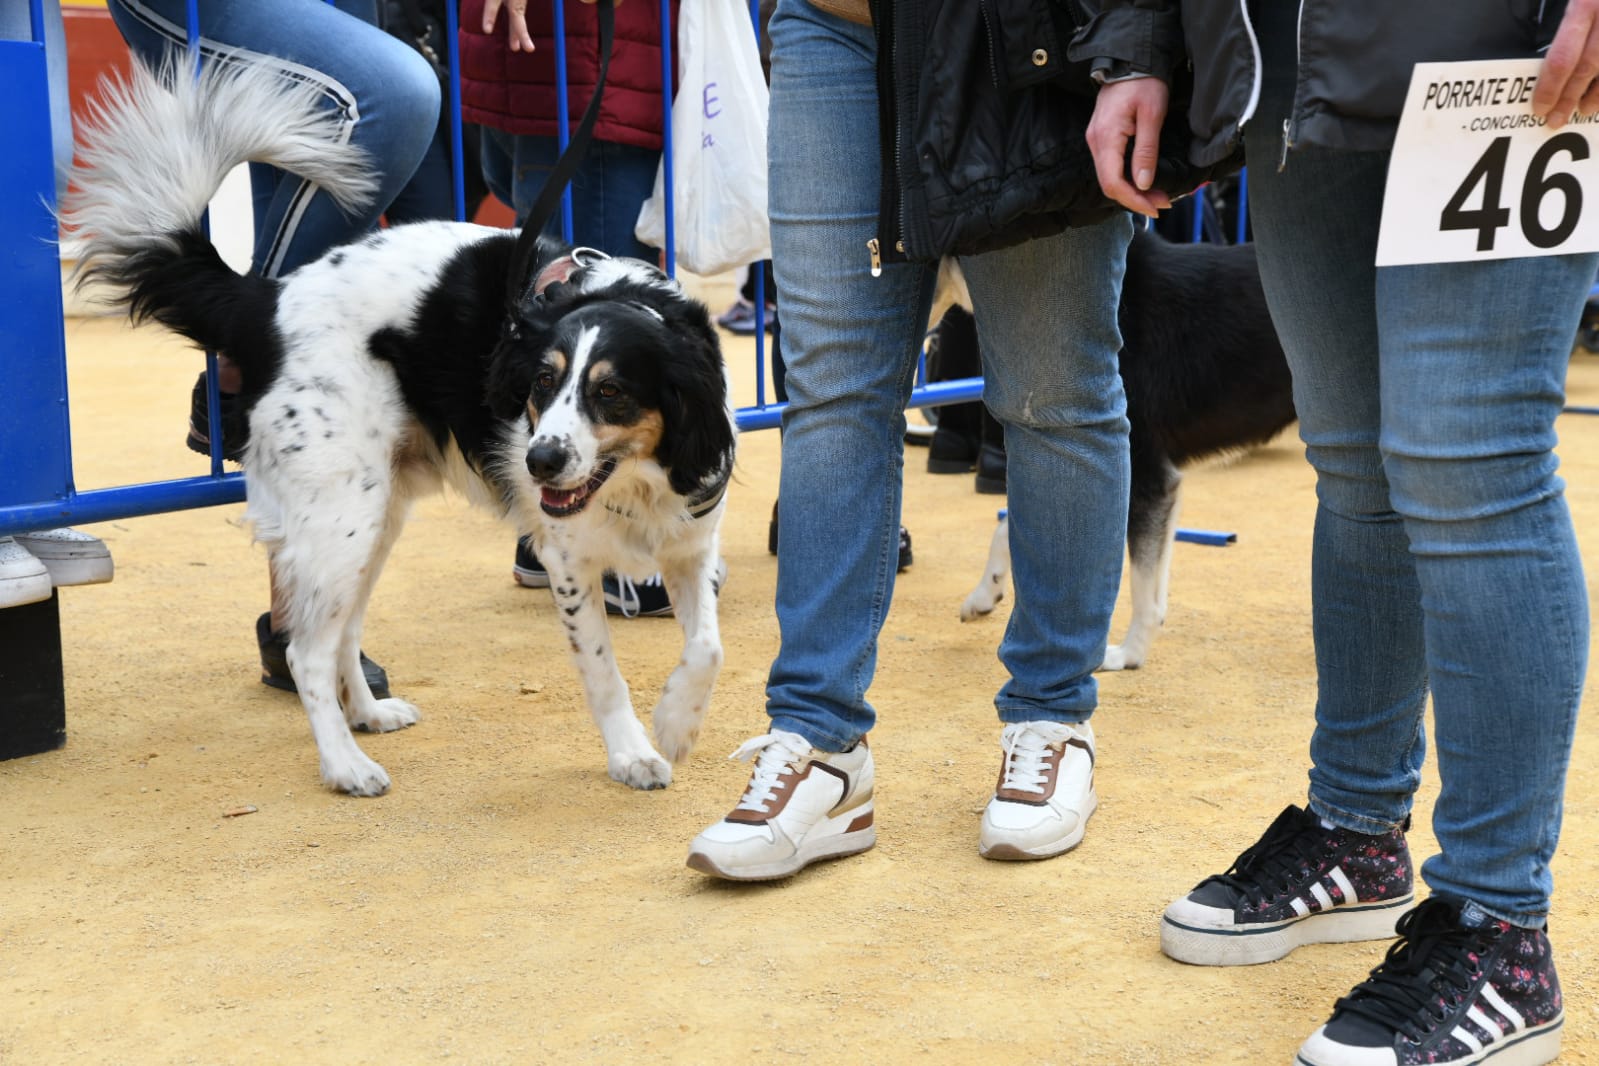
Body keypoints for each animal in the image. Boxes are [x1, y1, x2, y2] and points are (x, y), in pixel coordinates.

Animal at [63, 56, 735, 792]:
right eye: (540, 383)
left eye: (610, 392)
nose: (539, 462)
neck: (636, 478)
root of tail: (267, 300)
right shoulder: (568, 561)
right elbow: (604, 673)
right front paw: (633, 752)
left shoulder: (690, 543)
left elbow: (707, 646)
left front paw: (677, 724)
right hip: (342, 518)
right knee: (304, 652)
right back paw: (344, 765)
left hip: (372, 518)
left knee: (343, 633)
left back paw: (367, 714)